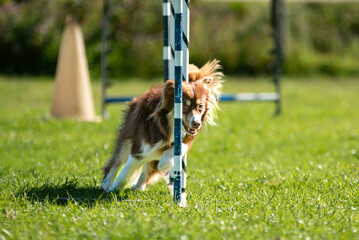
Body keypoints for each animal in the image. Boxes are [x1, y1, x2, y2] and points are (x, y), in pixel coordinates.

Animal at [101, 60, 224, 193]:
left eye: (200, 106)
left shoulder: (185, 140)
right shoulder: (140, 146)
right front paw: (114, 189)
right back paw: (107, 185)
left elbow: (174, 153)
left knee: (147, 170)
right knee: (116, 163)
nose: (196, 123)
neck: (168, 126)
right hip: (127, 136)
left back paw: (138, 187)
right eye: (184, 106)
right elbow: (125, 171)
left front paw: (164, 163)